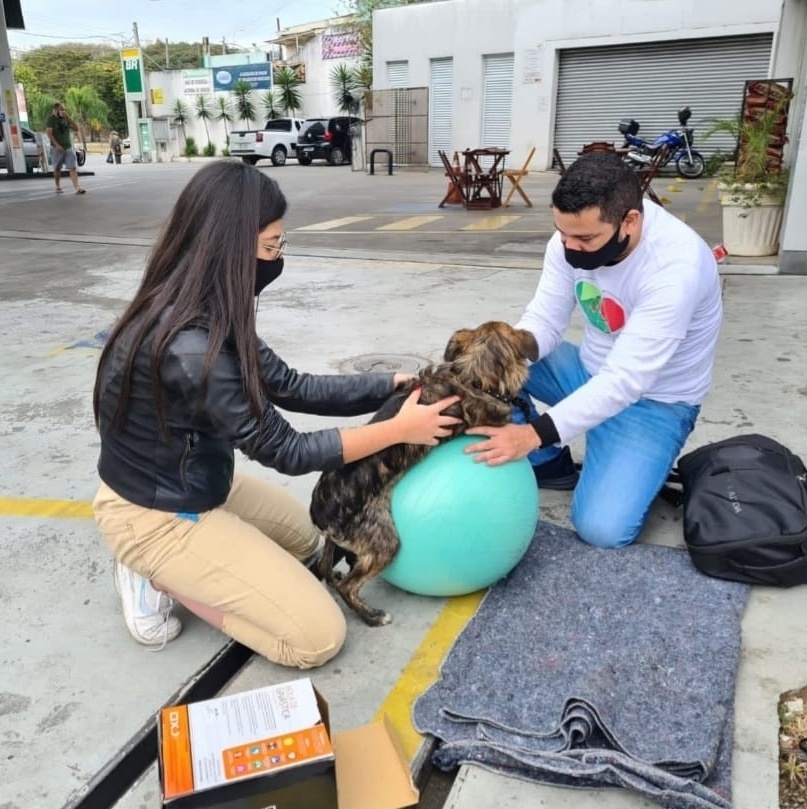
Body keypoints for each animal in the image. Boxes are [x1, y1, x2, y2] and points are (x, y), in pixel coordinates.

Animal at [310, 322, 536, 624]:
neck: (471, 375)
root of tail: (318, 513)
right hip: (383, 542)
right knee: (349, 586)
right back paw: (373, 616)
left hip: (338, 540)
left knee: (324, 565)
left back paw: (333, 574)